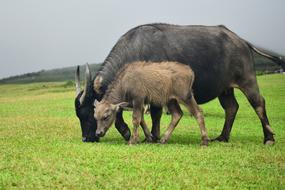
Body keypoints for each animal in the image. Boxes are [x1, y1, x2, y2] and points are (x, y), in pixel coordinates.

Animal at [74, 23, 282, 143]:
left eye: (88, 114)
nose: (86, 138)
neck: (136, 49)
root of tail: (241, 40)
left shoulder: (153, 94)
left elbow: (154, 114)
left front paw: (151, 136)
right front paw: (141, 134)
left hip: (247, 80)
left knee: (259, 103)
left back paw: (269, 138)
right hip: (225, 88)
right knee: (231, 107)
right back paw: (222, 137)